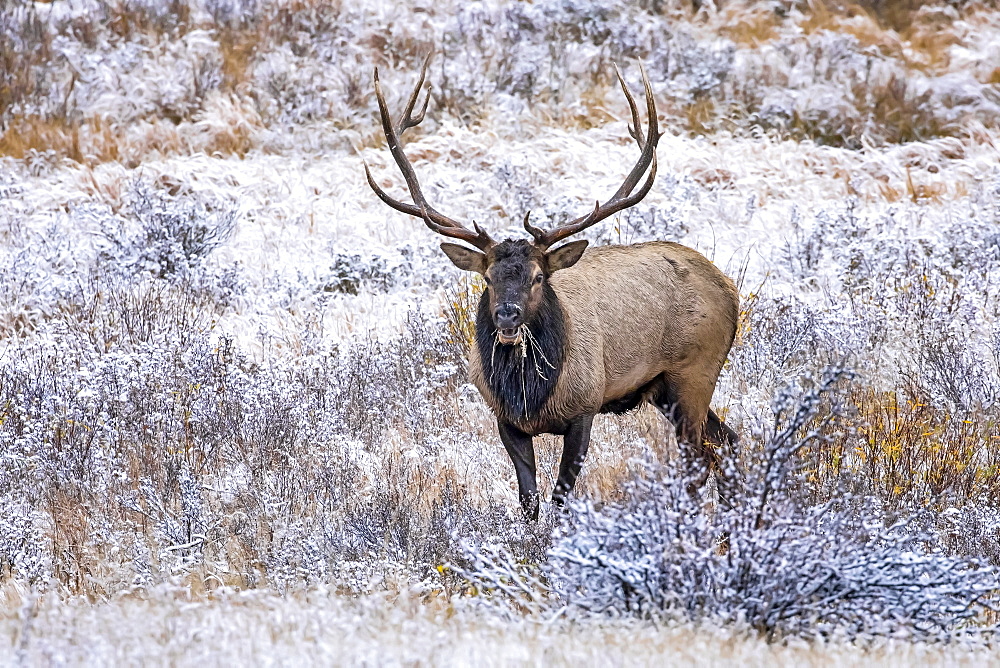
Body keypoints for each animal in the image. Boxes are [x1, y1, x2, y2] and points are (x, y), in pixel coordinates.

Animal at [364, 56, 740, 516]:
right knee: (728, 443)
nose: (507, 316)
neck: (530, 393)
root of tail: (730, 291)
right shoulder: (504, 419)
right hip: (665, 390)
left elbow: (562, 498)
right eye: (487, 278)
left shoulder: (585, 408)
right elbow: (529, 501)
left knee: (699, 459)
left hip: (694, 372)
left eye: (539, 277)